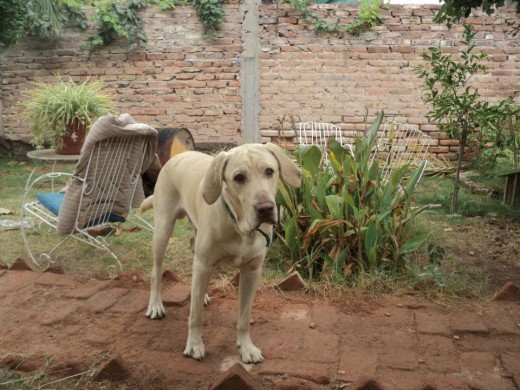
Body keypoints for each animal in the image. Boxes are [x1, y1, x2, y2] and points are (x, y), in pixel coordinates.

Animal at [140, 142, 302, 362]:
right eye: (239, 177)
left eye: (269, 171)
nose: (265, 208)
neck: (241, 228)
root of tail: (177, 157)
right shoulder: (204, 263)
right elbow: (195, 315)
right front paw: (194, 345)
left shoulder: (252, 271)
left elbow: (244, 316)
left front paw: (246, 347)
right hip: (163, 229)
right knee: (157, 271)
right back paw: (156, 305)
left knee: (193, 253)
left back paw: (201, 295)